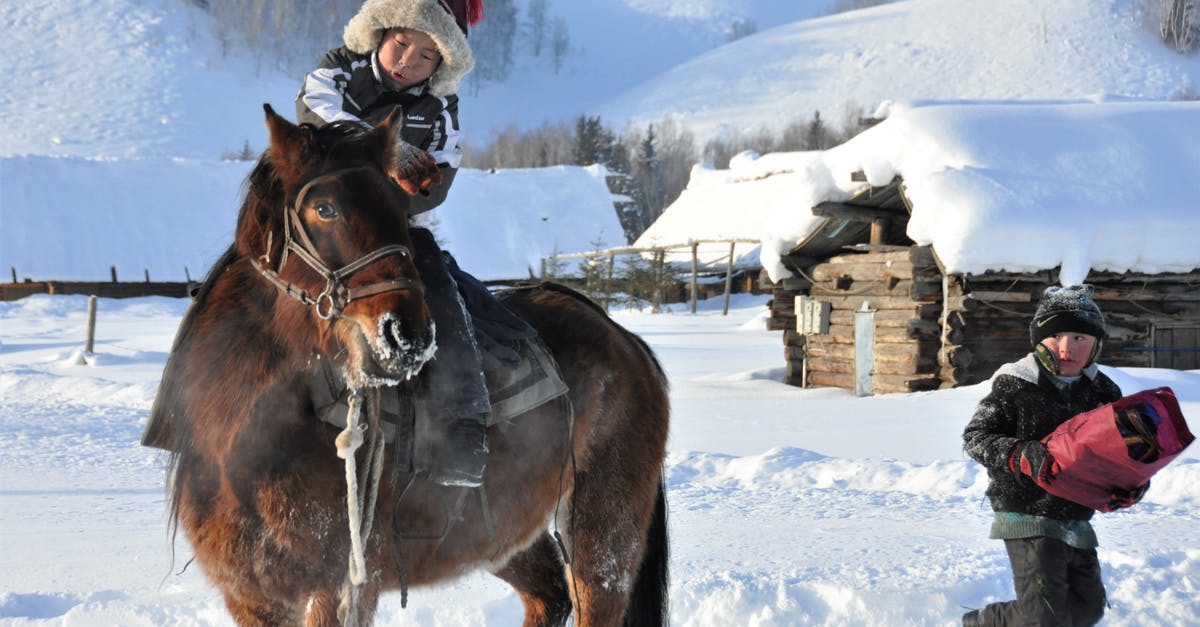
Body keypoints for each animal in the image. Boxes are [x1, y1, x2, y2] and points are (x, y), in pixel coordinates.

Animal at [143, 104, 670, 627]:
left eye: (398, 209)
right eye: (324, 208)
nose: (407, 335)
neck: (242, 435)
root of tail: (626, 341)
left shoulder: (341, 588)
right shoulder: (252, 596)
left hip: (603, 535)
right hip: (505, 530)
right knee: (548, 596)